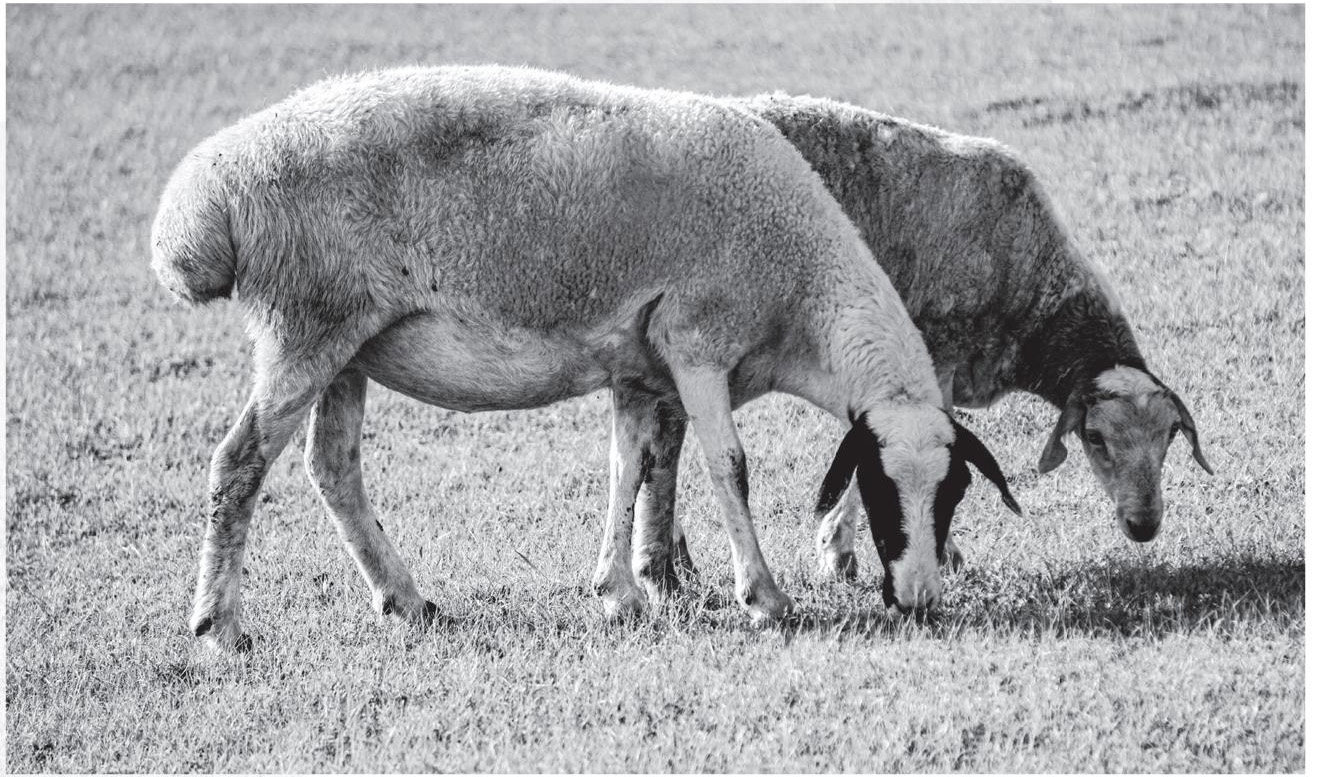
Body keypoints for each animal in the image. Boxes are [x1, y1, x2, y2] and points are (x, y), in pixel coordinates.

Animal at [151, 65, 1021, 651]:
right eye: (877, 487)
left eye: (954, 492)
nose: (920, 600)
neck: (801, 298)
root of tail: (205, 202)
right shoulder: (697, 339)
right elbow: (729, 466)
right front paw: (765, 596)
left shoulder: (636, 366)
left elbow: (627, 468)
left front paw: (618, 594)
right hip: (306, 324)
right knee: (239, 463)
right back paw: (219, 625)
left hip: (348, 344)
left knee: (332, 467)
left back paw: (405, 599)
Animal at [637, 92, 1213, 592]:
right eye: (1095, 438)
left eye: (1169, 438)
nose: (1144, 526)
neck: (1029, 282)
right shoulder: (932, 358)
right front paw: (854, 552)